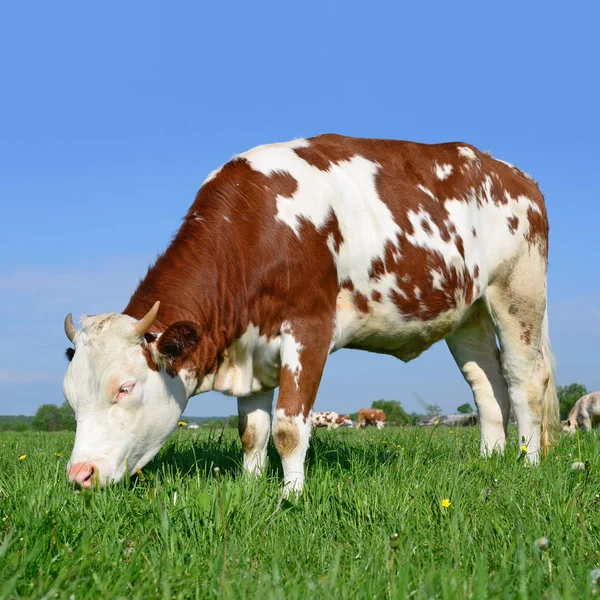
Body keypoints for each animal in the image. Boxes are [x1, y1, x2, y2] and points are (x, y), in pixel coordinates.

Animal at [61, 134, 556, 494]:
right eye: (69, 397)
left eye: (125, 388)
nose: (79, 475)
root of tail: (517, 176)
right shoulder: (252, 346)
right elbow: (251, 432)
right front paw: (250, 487)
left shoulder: (309, 330)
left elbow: (288, 429)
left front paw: (290, 497)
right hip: (468, 314)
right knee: (488, 387)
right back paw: (490, 461)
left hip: (518, 293)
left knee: (524, 383)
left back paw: (529, 465)